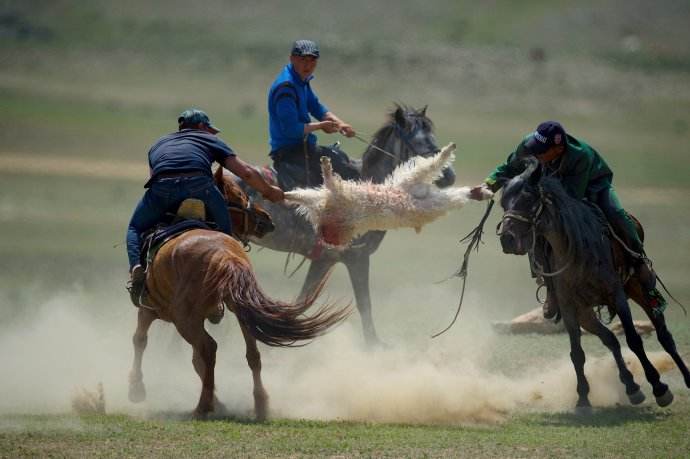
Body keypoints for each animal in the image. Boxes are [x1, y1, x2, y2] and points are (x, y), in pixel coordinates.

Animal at [127, 172, 350, 420]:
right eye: (239, 195)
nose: (267, 219)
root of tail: (224, 256)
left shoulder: (148, 309)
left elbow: (140, 340)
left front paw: (136, 389)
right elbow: (194, 360)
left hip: (184, 319)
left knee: (208, 349)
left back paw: (203, 407)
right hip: (240, 311)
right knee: (251, 355)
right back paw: (260, 405)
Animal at [239, 106, 454, 346]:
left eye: (432, 137)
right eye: (416, 141)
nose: (449, 176)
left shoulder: (324, 259)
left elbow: (301, 301)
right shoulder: (356, 257)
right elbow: (365, 305)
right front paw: (374, 346)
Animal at [498, 158, 684, 414]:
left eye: (528, 199)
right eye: (502, 202)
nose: (507, 239)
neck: (574, 249)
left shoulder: (617, 296)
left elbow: (634, 340)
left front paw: (659, 387)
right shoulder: (568, 307)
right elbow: (577, 353)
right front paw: (583, 400)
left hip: (641, 289)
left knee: (664, 336)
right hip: (585, 312)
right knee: (611, 339)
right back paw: (631, 387)